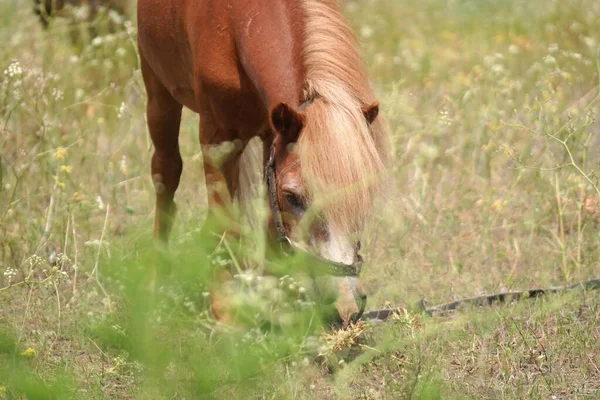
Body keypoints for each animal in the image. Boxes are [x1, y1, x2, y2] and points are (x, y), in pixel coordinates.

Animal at [136, 0, 390, 324]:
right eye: (293, 196)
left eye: (364, 195)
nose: (345, 308)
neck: (239, 22)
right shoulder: (216, 138)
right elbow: (224, 225)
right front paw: (225, 314)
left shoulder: (273, 137)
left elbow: (270, 228)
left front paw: (274, 307)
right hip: (158, 92)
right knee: (166, 173)